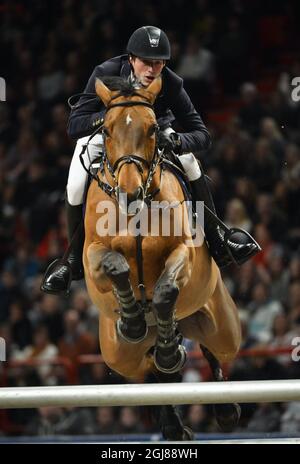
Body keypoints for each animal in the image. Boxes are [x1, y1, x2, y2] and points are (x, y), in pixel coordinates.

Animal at [82, 75, 241, 438]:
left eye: (154, 128)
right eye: (106, 130)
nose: (129, 194)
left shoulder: (183, 252)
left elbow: (166, 290)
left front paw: (168, 351)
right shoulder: (91, 255)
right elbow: (114, 264)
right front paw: (133, 319)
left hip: (223, 328)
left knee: (214, 350)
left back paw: (223, 407)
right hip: (119, 355)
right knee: (148, 374)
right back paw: (171, 423)